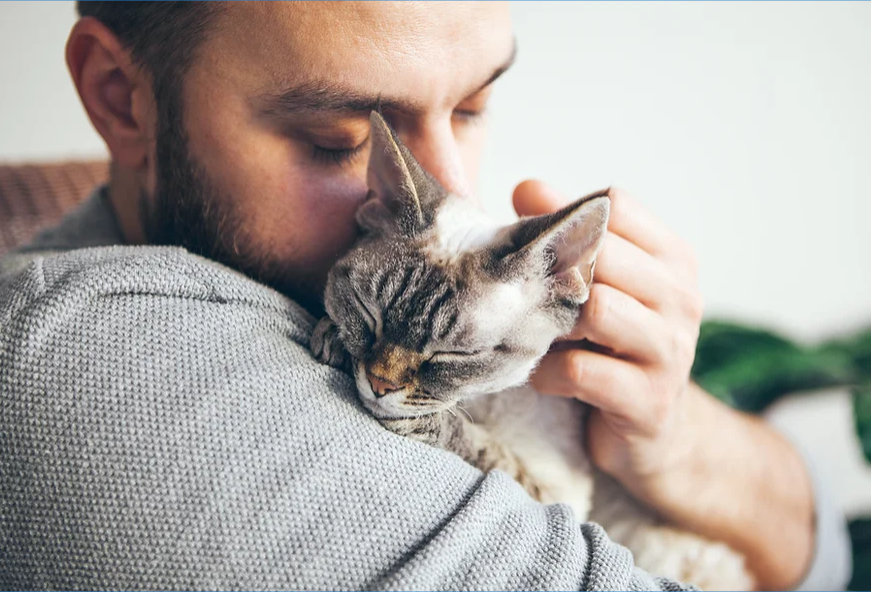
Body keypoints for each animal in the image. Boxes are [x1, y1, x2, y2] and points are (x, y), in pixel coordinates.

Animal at [314, 112, 756, 592]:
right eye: (367, 312)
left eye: (456, 354)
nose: (379, 384)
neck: (483, 399)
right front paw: (333, 337)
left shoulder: (559, 496)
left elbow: (484, 448)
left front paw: (427, 420)